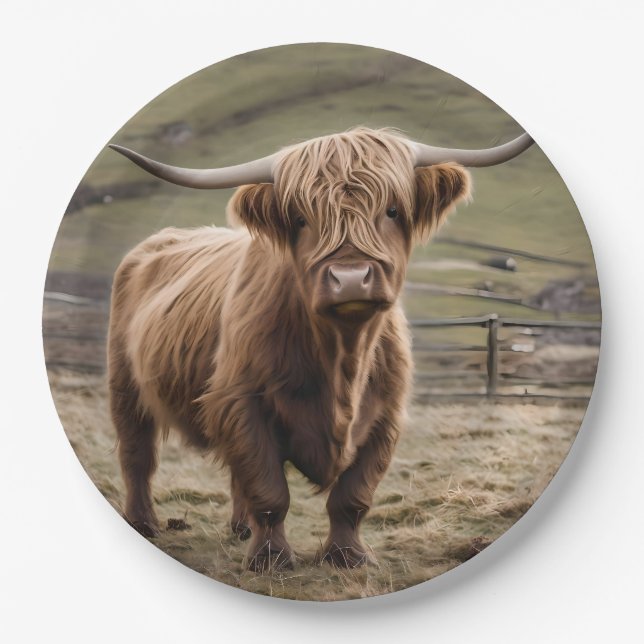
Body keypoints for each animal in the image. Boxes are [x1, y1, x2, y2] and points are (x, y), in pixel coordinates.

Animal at [108, 127, 533, 571]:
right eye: (300, 219)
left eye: (393, 210)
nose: (351, 277)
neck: (343, 359)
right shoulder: (243, 404)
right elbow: (269, 490)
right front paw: (271, 560)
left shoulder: (385, 417)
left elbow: (352, 496)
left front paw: (348, 556)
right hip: (124, 384)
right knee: (137, 455)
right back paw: (144, 522)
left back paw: (239, 529)